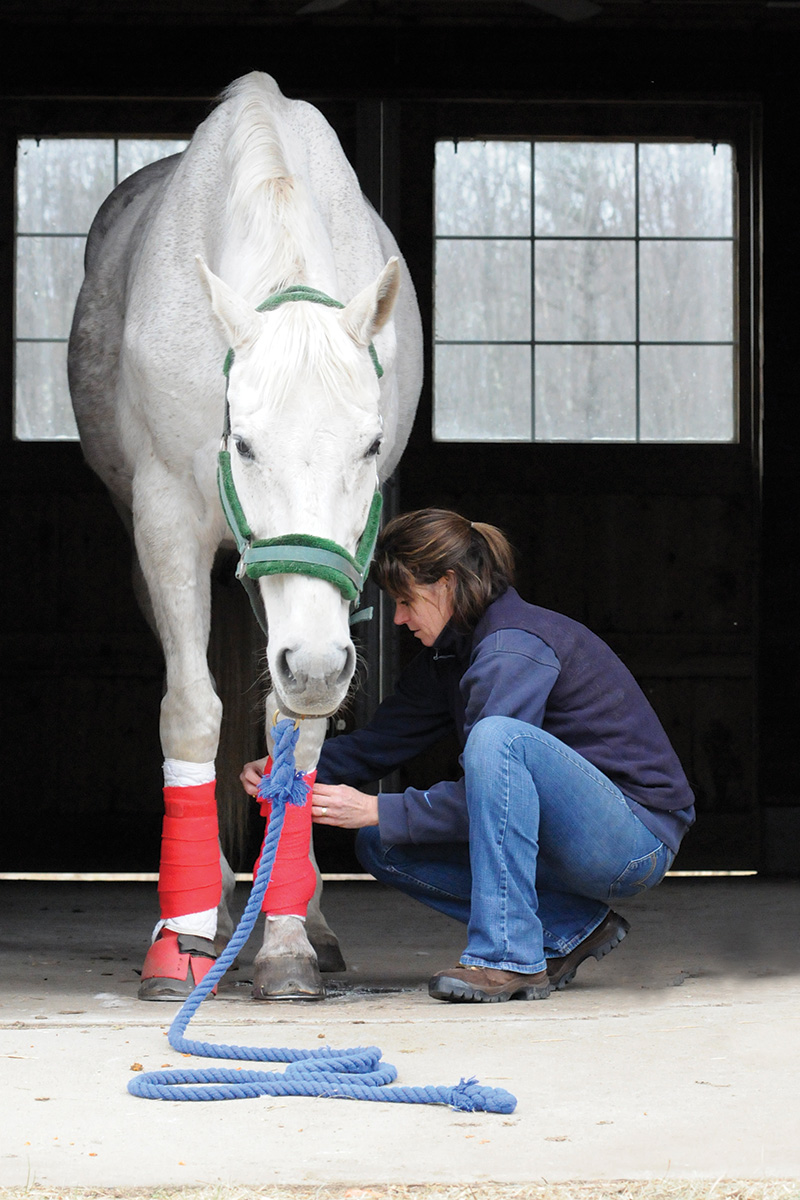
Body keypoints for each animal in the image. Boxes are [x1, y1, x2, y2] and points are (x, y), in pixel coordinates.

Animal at [68, 70, 424, 998]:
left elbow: (296, 730)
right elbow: (192, 713)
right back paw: (213, 912)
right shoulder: (166, 520)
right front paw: (185, 938)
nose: (318, 663)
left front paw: (291, 940)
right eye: (246, 444)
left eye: (369, 446)